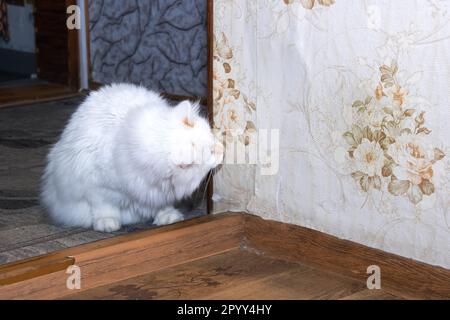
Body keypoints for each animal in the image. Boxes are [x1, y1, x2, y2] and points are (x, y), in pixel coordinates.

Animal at [41, 84, 223, 231]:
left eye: (211, 138)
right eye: (211, 152)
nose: (222, 149)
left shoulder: (160, 194)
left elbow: (163, 206)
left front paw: (169, 218)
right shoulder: (98, 188)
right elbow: (105, 208)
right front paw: (108, 224)